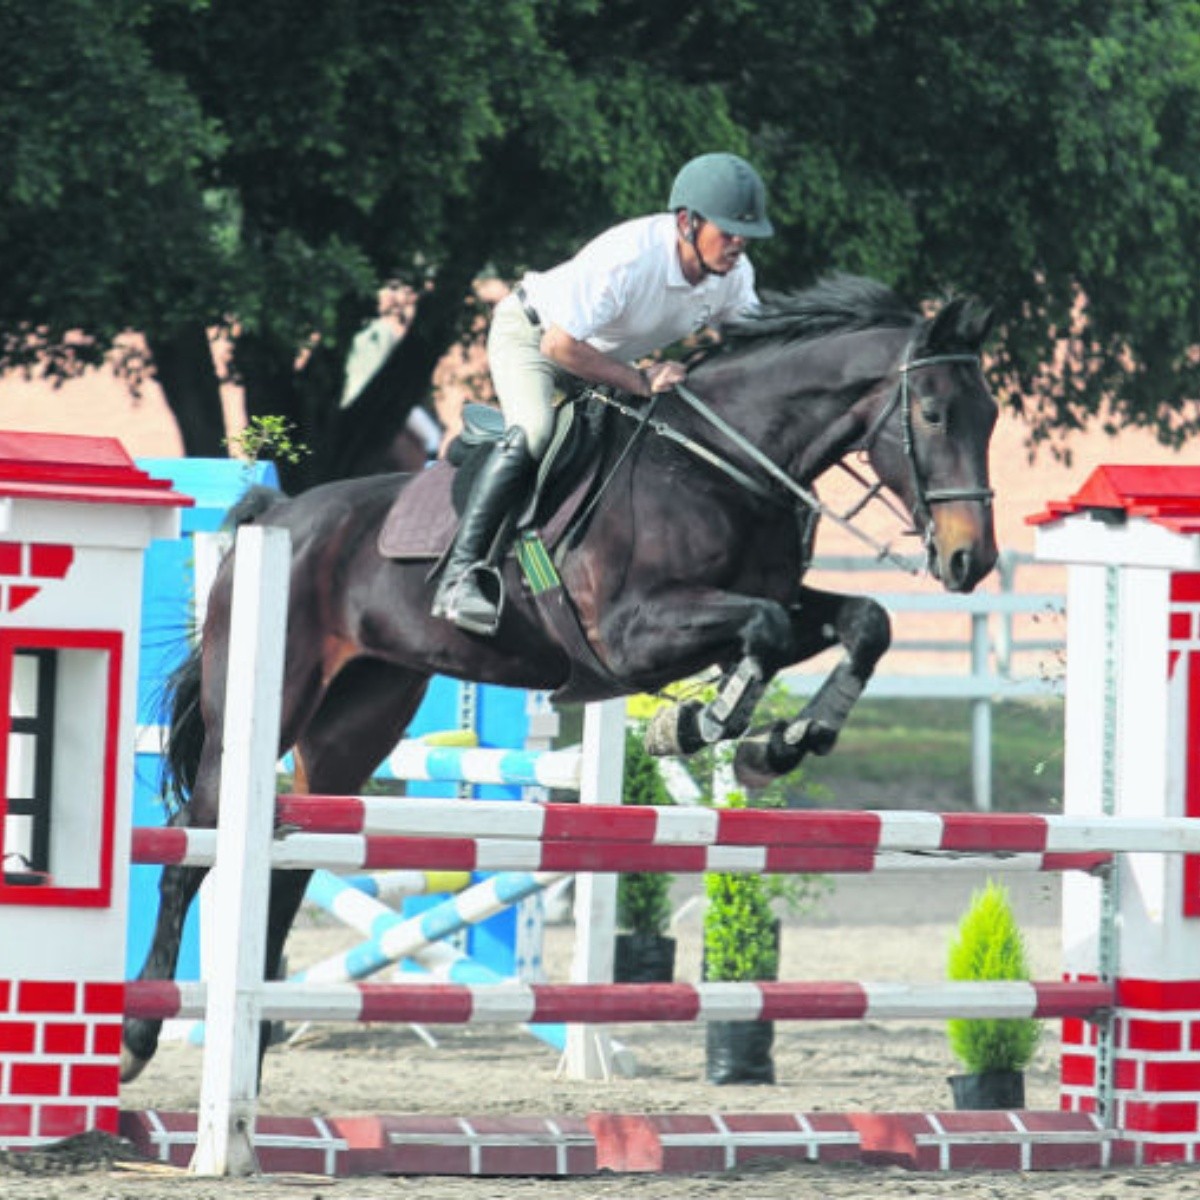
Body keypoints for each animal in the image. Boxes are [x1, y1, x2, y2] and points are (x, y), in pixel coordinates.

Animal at [124, 276, 1003, 1084]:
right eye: (932, 413)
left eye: (990, 415)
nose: (972, 560)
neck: (726, 465)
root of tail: (277, 515)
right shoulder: (631, 634)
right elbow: (766, 630)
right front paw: (699, 725)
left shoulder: (763, 600)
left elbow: (862, 623)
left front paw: (784, 740)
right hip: (262, 708)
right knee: (190, 852)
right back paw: (140, 1038)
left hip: (354, 723)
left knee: (287, 865)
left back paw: (255, 1044)